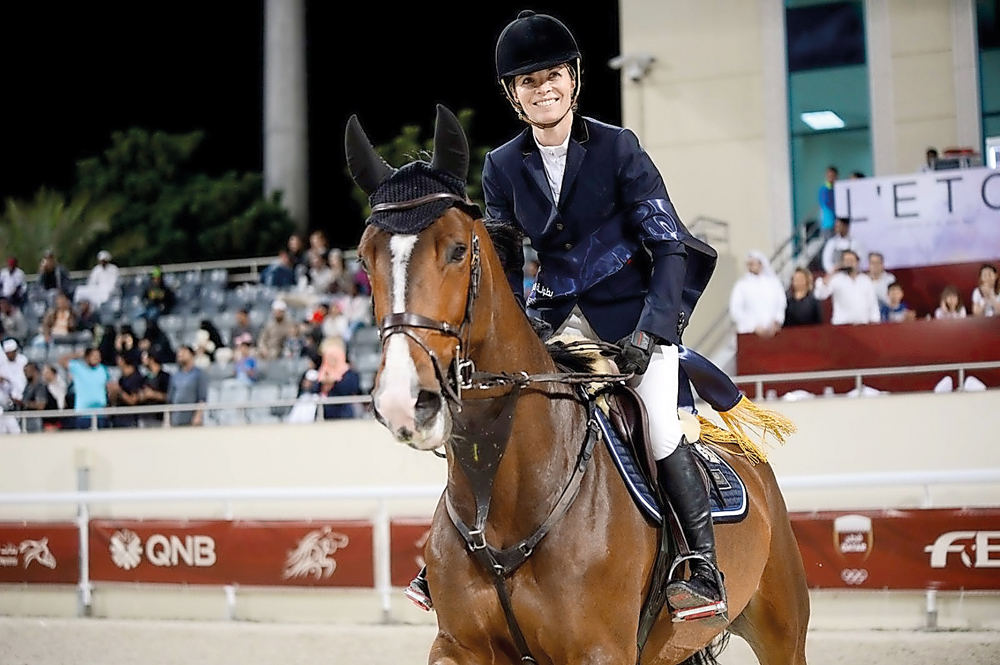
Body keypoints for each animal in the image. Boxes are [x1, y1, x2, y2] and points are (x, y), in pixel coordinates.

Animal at [348, 106, 808, 660]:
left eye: (458, 251)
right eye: (364, 257)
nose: (403, 401)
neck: (503, 497)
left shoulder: (599, 651)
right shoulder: (458, 646)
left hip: (782, 631)